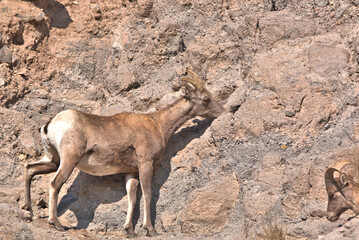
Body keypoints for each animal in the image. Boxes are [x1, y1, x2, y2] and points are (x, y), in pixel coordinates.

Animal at [21, 69, 225, 236]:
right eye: (206, 99)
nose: (222, 112)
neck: (158, 125)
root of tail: (50, 125)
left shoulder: (131, 172)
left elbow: (132, 198)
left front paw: (129, 231)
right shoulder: (145, 165)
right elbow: (148, 193)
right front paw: (150, 230)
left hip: (52, 159)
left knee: (29, 169)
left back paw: (28, 210)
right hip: (69, 160)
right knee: (55, 183)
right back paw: (56, 223)